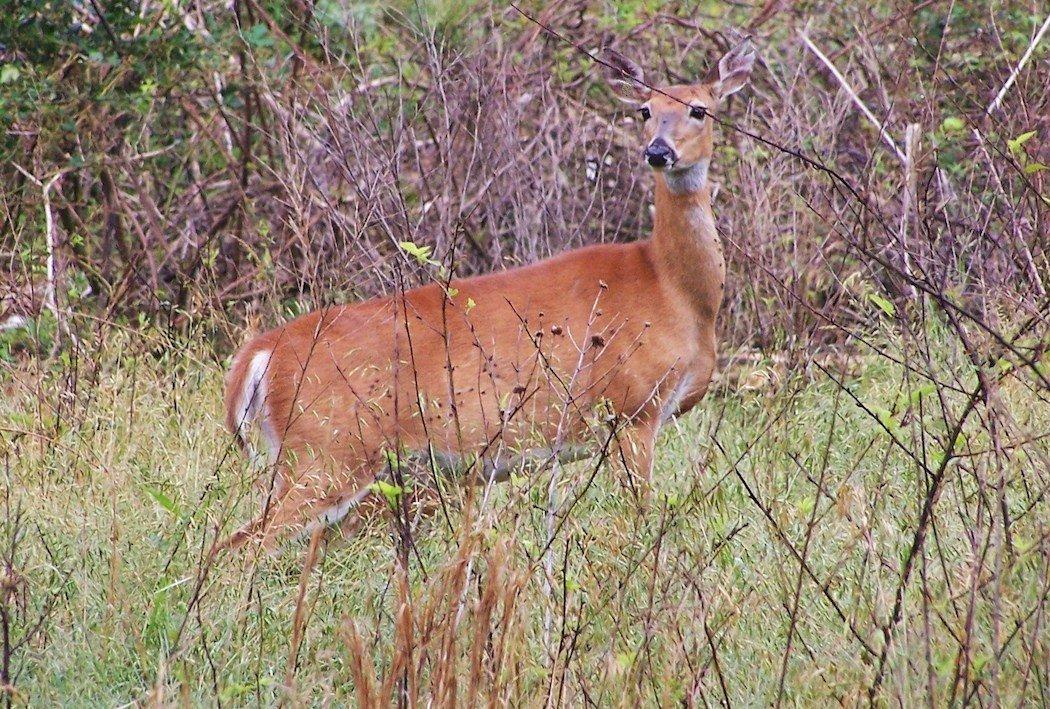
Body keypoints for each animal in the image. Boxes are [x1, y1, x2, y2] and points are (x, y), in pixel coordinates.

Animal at [219, 40, 755, 554]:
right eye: (645, 109)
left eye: (700, 109)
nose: (659, 152)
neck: (672, 289)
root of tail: (261, 353)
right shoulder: (631, 407)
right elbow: (640, 517)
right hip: (327, 451)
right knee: (241, 545)